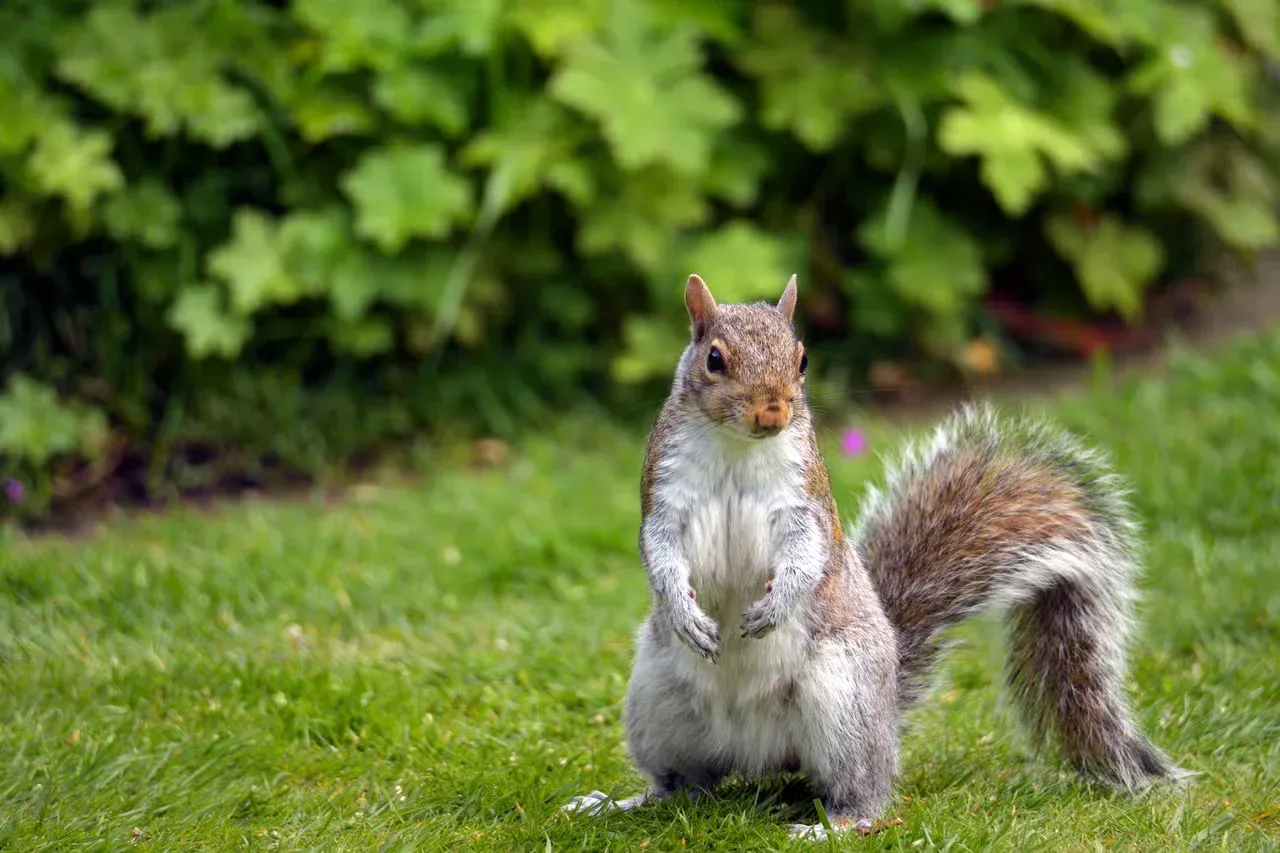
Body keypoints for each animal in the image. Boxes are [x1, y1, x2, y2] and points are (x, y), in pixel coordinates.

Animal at [563, 274, 1183, 840]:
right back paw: (618, 804)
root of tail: (760, 755)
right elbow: (660, 552)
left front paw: (775, 608)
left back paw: (834, 824)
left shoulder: (805, 504)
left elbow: (808, 556)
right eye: (715, 359)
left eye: (802, 359)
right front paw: (684, 610)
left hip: (843, 704)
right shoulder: (665, 496)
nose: (772, 413)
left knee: (864, 792)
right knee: (685, 784)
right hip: (657, 700)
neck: (738, 449)